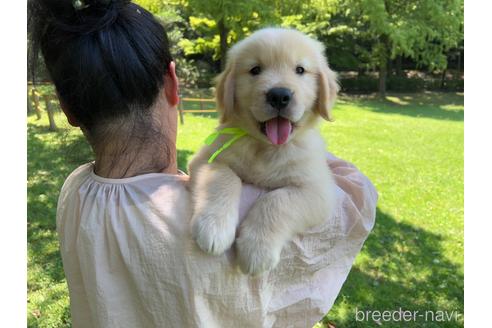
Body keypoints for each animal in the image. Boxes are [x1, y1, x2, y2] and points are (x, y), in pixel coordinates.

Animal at [187, 27, 338, 274]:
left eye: (300, 70)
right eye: (255, 70)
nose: (279, 95)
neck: (265, 147)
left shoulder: (317, 189)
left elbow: (277, 201)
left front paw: (257, 250)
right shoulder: (207, 158)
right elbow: (224, 178)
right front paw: (214, 227)